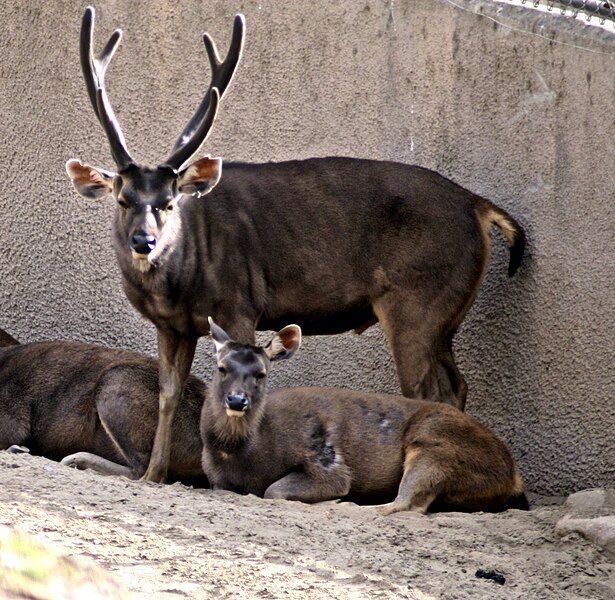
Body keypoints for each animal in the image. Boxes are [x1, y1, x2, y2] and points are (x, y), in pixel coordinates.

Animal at [68, 7, 528, 482]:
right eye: (123, 199)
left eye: (169, 202)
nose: (145, 241)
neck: (182, 282)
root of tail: (479, 206)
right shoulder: (172, 325)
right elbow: (168, 392)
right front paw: (153, 475)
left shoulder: (239, 303)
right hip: (445, 317)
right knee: (457, 384)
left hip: (419, 301)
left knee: (427, 388)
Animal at [203, 318, 528, 516]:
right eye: (221, 368)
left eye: (261, 373)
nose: (237, 399)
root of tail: (513, 475)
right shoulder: (217, 481)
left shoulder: (327, 463)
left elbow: (274, 490)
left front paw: (334, 497)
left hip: (435, 444)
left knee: (407, 503)